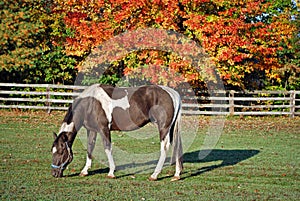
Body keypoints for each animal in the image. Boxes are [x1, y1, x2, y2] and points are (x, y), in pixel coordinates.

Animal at [51, 84, 183, 181]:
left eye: (61, 152)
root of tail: (173, 94)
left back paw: (154, 175)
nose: (54, 173)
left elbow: (107, 148)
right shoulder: (92, 130)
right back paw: (177, 174)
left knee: (165, 147)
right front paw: (84, 171)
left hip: (163, 128)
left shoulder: (104, 129)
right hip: (171, 128)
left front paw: (111, 172)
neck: (90, 103)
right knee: (176, 146)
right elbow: (89, 148)